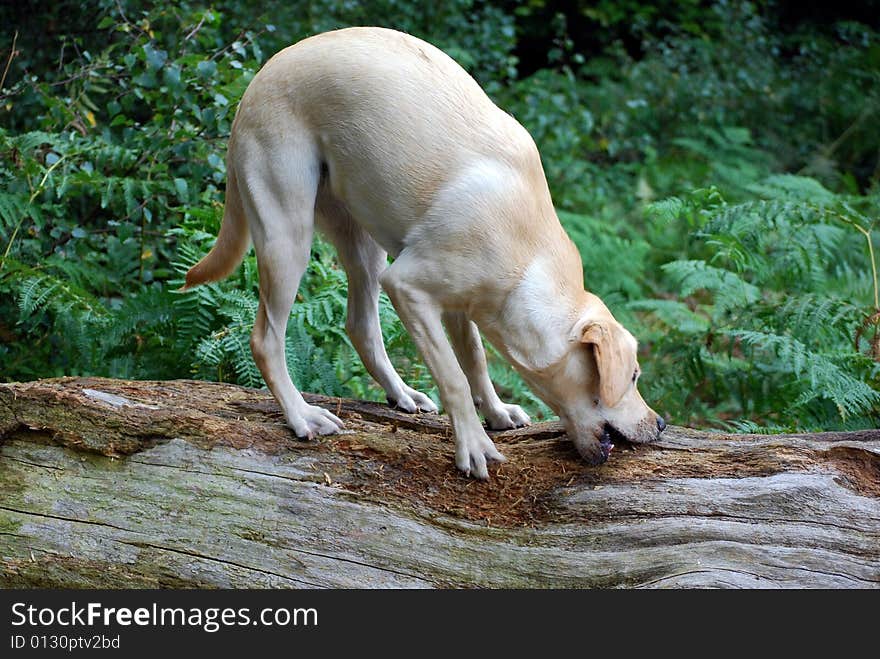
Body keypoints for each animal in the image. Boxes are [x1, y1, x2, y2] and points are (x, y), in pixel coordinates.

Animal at [186, 27, 668, 480]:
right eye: (633, 376)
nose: (661, 423)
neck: (525, 254)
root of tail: (259, 78)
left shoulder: (460, 305)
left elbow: (474, 361)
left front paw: (496, 413)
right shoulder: (408, 288)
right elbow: (454, 377)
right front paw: (473, 444)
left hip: (363, 242)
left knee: (361, 326)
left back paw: (401, 393)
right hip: (288, 235)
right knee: (267, 338)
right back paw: (301, 415)